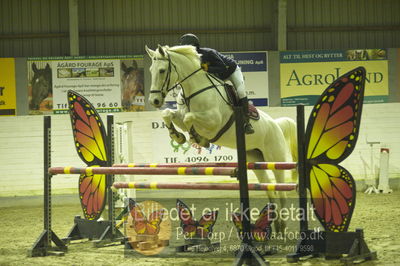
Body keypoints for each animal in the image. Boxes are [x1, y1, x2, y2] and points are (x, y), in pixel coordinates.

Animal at [146, 44, 296, 232]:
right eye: (151, 70)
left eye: (162, 70)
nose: (154, 101)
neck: (194, 88)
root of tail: (275, 124)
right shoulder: (181, 116)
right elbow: (169, 114)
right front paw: (178, 136)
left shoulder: (213, 121)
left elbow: (189, 118)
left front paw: (198, 138)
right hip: (255, 158)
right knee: (269, 187)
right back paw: (274, 223)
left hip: (274, 157)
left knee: (281, 188)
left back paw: (282, 225)